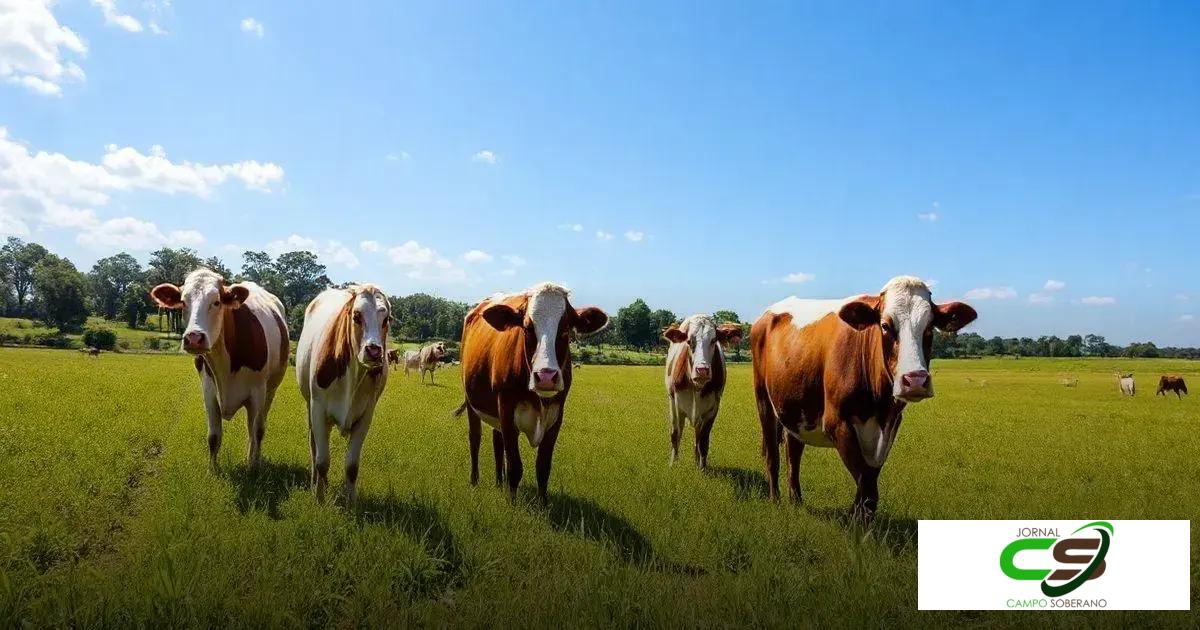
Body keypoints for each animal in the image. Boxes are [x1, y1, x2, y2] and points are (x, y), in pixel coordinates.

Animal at [150, 268, 289, 473]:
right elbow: (214, 435)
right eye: (183, 302)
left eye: (216, 302)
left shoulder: (258, 392)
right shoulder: (208, 390)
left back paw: (254, 458)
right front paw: (212, 470)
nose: (193, 338)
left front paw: (253, 467)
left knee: (258, 428)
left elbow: (256, 431)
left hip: (271, 389)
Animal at [295, 284, 391, 505]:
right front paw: (319, 499)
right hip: (310, 407)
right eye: (357, 316)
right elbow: (322, 461)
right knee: (314, 447)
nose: (374, 351)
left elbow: (352, 466)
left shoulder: (366, 415)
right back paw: (315, 482)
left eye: (386, 319)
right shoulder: (318, 409)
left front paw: (350, 502)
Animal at [454, 283, 608, 502]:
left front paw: (542, 504)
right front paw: (512, 503)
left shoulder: (556, 415)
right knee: (475, 438)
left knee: (497, 441)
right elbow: (515, 466)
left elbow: (543, 467)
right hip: (471, 400)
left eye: (565, 329)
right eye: (527, 328)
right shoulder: (507, 409)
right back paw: (474, 481)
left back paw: (499, 483)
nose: (545, 376)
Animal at [662, 315, 743, 469]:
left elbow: (703, 440)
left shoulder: (712, 408)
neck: (696, 386)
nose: (702, 370)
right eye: (689, 341)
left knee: (698, 437)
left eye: (713, 340)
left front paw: (702, 468)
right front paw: (673, 464)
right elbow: (675, 434)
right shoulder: (674, 403)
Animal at [750, 276, 977, 526]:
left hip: (796, 407)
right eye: (885, 325)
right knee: (772, 453)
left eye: (929, 327)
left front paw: (858, 519)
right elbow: (867, 487)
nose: (916, 380)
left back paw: (796, 501)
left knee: (794, 453)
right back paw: (775, 500)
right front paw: (859, 528)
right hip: (763, 400)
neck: (879, 405)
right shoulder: (836, 423)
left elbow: (868, 479)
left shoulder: (890, 425)